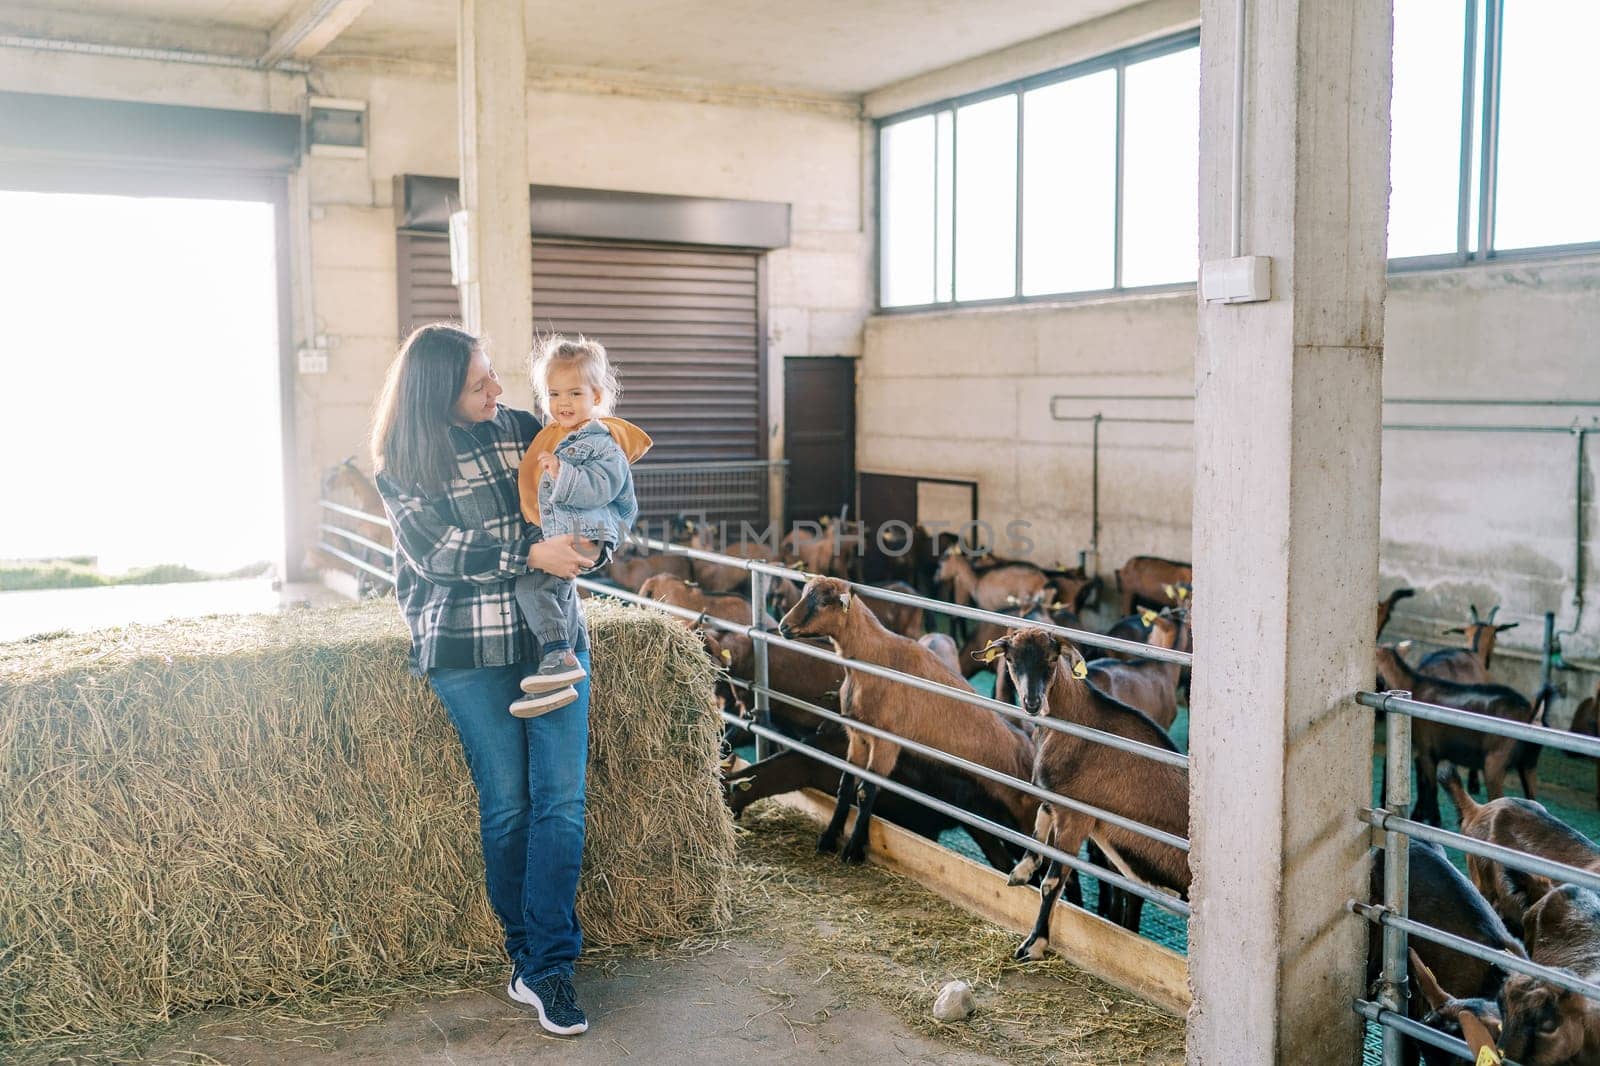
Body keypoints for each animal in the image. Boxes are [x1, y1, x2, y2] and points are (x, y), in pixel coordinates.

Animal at [774, 576, 1036, 870]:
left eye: (822, 601)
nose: (783, 626)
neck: (874, 658)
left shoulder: (886, 743)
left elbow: (866, 792)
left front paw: (853, 851)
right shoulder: (857, 736)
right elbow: (846, 787)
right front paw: (829, 839)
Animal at [972, 624, 1190, 953]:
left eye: (1051, 659)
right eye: (1010, 659)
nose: (1032, 702)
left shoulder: (1077, 817)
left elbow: (1052, 881)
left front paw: (1034, 944)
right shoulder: (1053, 795)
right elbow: (1039, 822)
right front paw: (1021, 871)